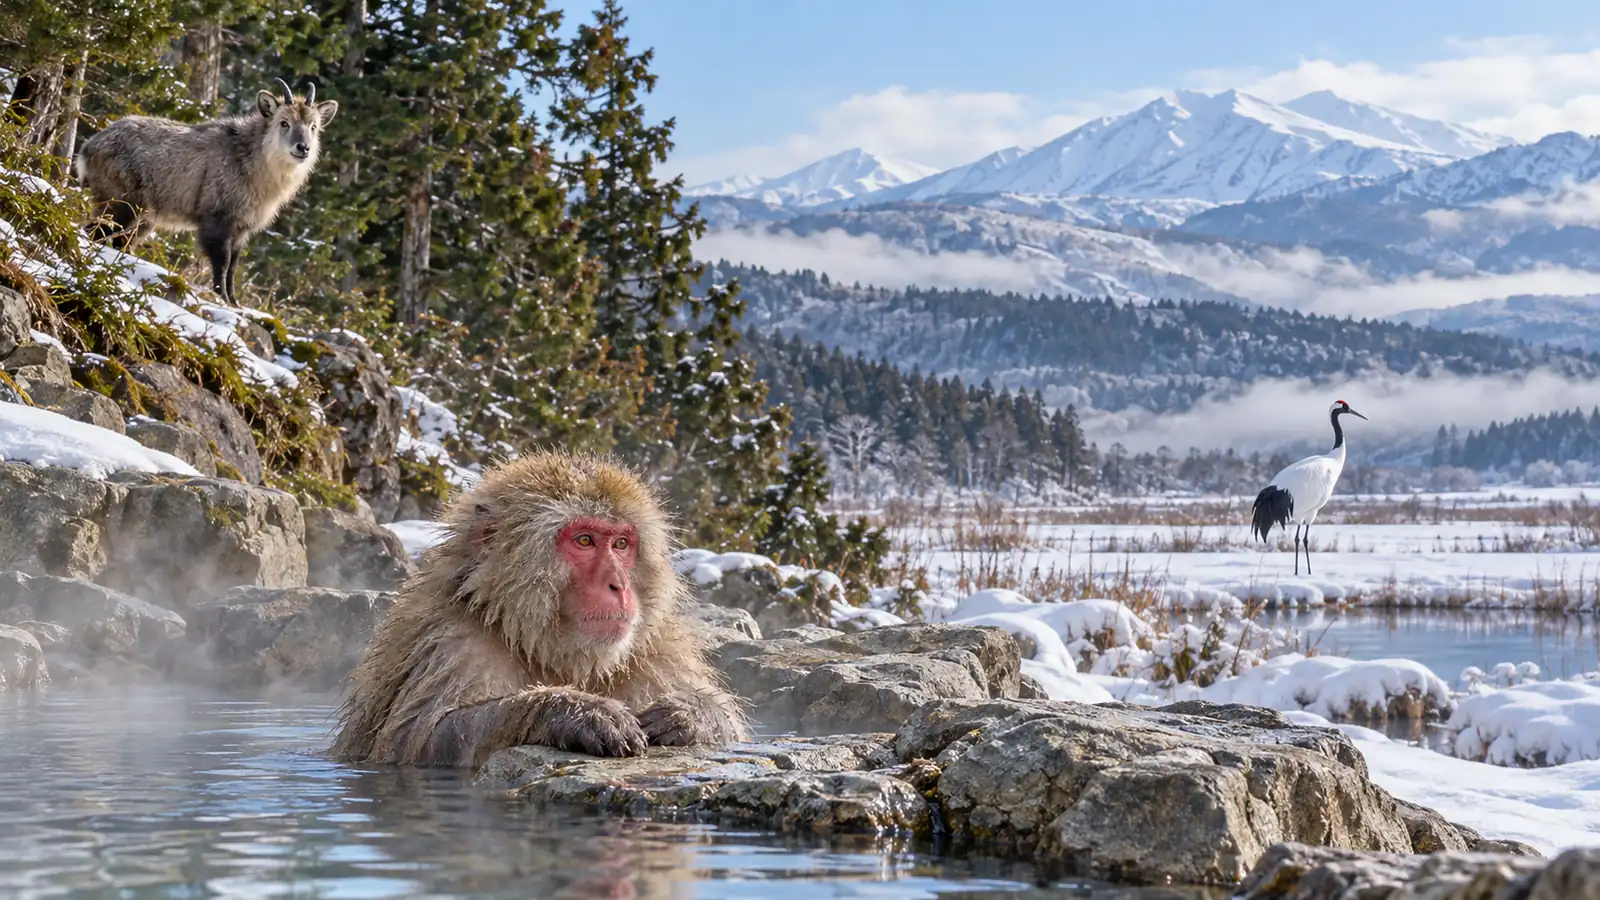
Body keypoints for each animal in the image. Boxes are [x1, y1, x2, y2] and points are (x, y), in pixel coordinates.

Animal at [328, 449, 749, 768]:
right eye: (584, 540)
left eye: (621, 544)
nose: (618, 584)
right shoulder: (451, 641)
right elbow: (418, 738)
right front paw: (575, 712)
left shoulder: (655, 650)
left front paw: (689, 714)